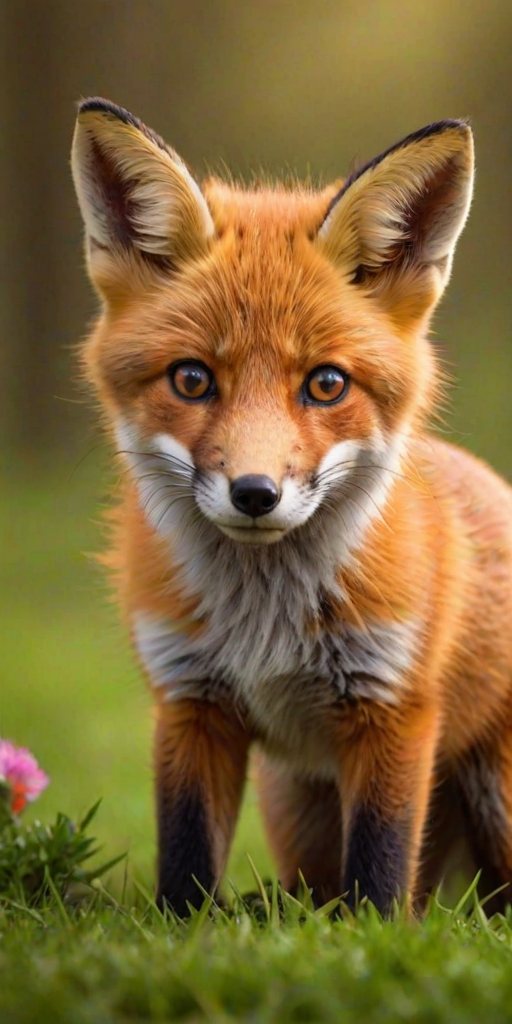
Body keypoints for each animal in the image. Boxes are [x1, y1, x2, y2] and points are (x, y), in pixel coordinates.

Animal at [71, 97, 512, 919]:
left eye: (326, 384)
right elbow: (185, 859)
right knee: (318, 891)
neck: (264, 626)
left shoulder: (394, 706)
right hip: (295, 809)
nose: (254, 493)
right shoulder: (189, 701)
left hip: (498, 796)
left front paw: (375, 937)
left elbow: (380, 869)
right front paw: (189, 931)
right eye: (191, 379)